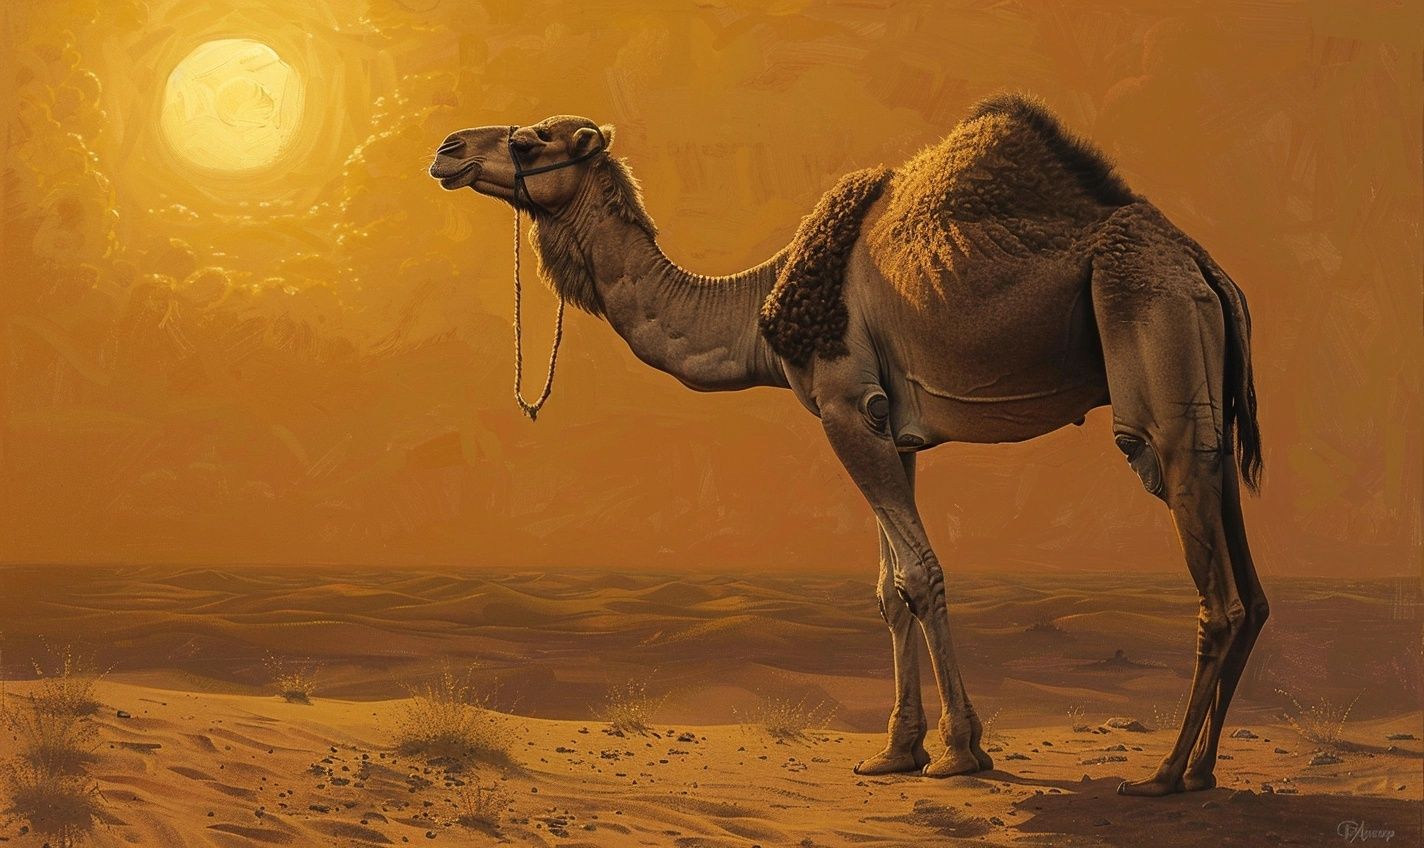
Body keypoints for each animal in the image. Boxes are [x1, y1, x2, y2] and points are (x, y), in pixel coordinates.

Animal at [429, 95, 1266, 797]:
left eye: (532, 141)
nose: (447, 148)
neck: (757, 311)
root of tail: (1206, 267)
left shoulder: (842, 403)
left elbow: (921, 574)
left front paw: (961, 750)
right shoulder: (893, 427)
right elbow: (889, 589)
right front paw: (896, 750)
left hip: (1151, 329)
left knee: (1210, 573)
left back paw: (1164, 775)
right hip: (1209, 389)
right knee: (1247, 579)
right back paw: (1203, 770)